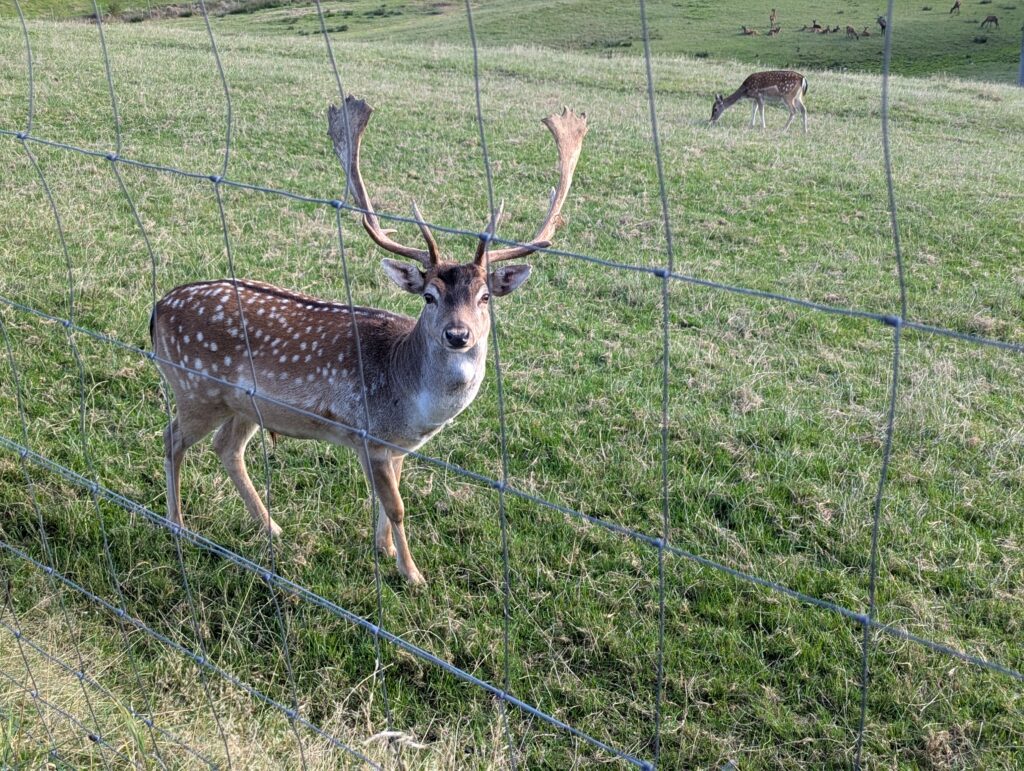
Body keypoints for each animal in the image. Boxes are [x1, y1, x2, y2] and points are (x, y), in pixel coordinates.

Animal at [148, 99, 589, 585]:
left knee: (227, 448)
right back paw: (178, 524)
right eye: (429, 295)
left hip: (243, 405)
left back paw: (271, 526)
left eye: (485, 296)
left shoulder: (395, 447)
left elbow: (387, 501)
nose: (458, 334)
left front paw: (382, 549)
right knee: (172, 438)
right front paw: (412, 574)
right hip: (195, 389)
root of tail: (156, 310)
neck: (410, 401)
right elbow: (396, 507)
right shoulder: (370, 435)